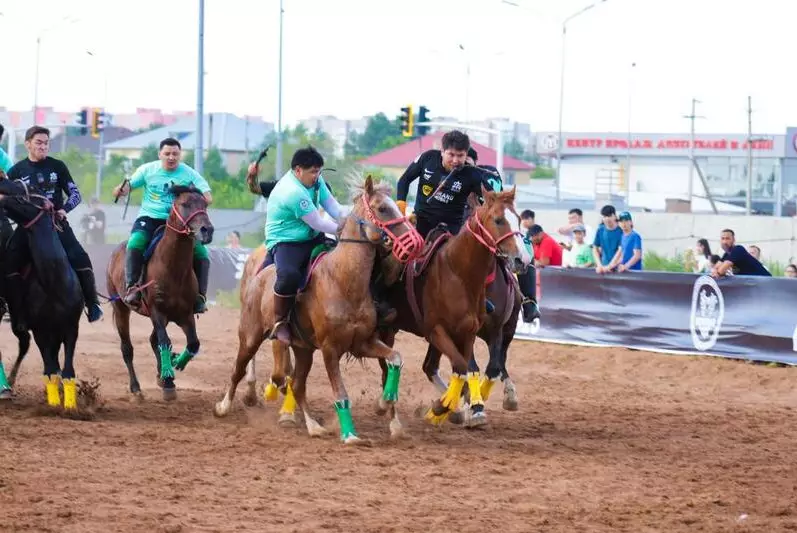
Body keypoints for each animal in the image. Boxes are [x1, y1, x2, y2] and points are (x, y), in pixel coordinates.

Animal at [0, 179, 84, 408]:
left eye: (29, 191)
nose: (2, 182)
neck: (54, 283)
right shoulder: (40, 330)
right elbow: (50, 371)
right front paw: (54, 403)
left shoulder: (71, 327)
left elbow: (67, 371)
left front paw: (70, 405)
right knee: (25, 344)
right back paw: (9, 383)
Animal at [108, 184, 218, 400]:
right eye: (185, 204)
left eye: (204, 204)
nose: (207, 230)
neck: (173, 269)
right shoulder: (157, 311)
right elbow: (164, 341)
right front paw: (167, 377)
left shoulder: (185, 314)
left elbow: (193, 343)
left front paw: (173, 366)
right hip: (121, 308)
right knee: (128, 348)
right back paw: (136, 387)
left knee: (153, 340)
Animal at [211, 176, 422, 444]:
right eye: (383, 208)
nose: (415, 241)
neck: (342, 281)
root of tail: (259, 274)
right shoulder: (330, 349)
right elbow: (341, 394)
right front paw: (350, 435)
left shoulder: (362, 343)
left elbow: (395, 358)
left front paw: (384, 403)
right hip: (250, 336)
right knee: (238, 370)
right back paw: (224, 406)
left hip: (304, 350)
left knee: (297, 385)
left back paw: (313, 426)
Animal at [374, 185, 528, 426]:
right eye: (498, 219)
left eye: (519, 219)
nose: (521, 259)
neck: (459, 274)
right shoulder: (437, 330)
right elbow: (467, 368)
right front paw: (466, 406)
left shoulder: (488, 330)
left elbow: (490, 368)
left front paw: (466, 403)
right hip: (387, 327)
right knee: (388, 363)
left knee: (430, 366)